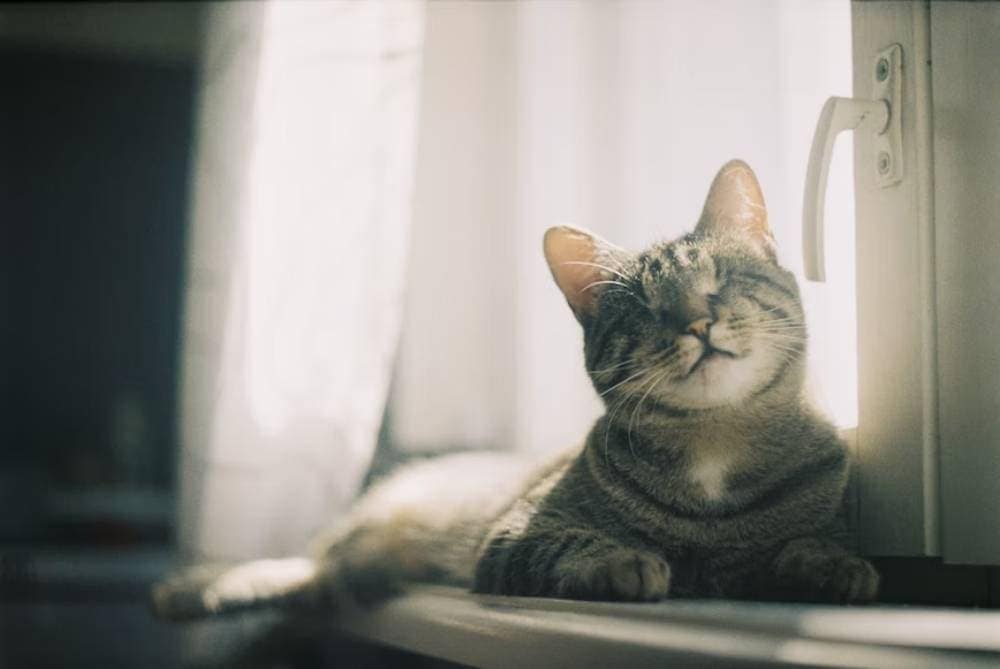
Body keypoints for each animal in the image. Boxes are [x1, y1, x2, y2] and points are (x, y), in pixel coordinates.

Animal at [152, 158, 880, 620]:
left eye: (719, 281)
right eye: (644, 310)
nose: (696, 323)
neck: (715, 445)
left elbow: (796, 547)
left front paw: (830, 565)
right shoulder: (512, 537)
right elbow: (574, 544)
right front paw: (625, 561)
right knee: (298, 563)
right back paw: (198, 587)